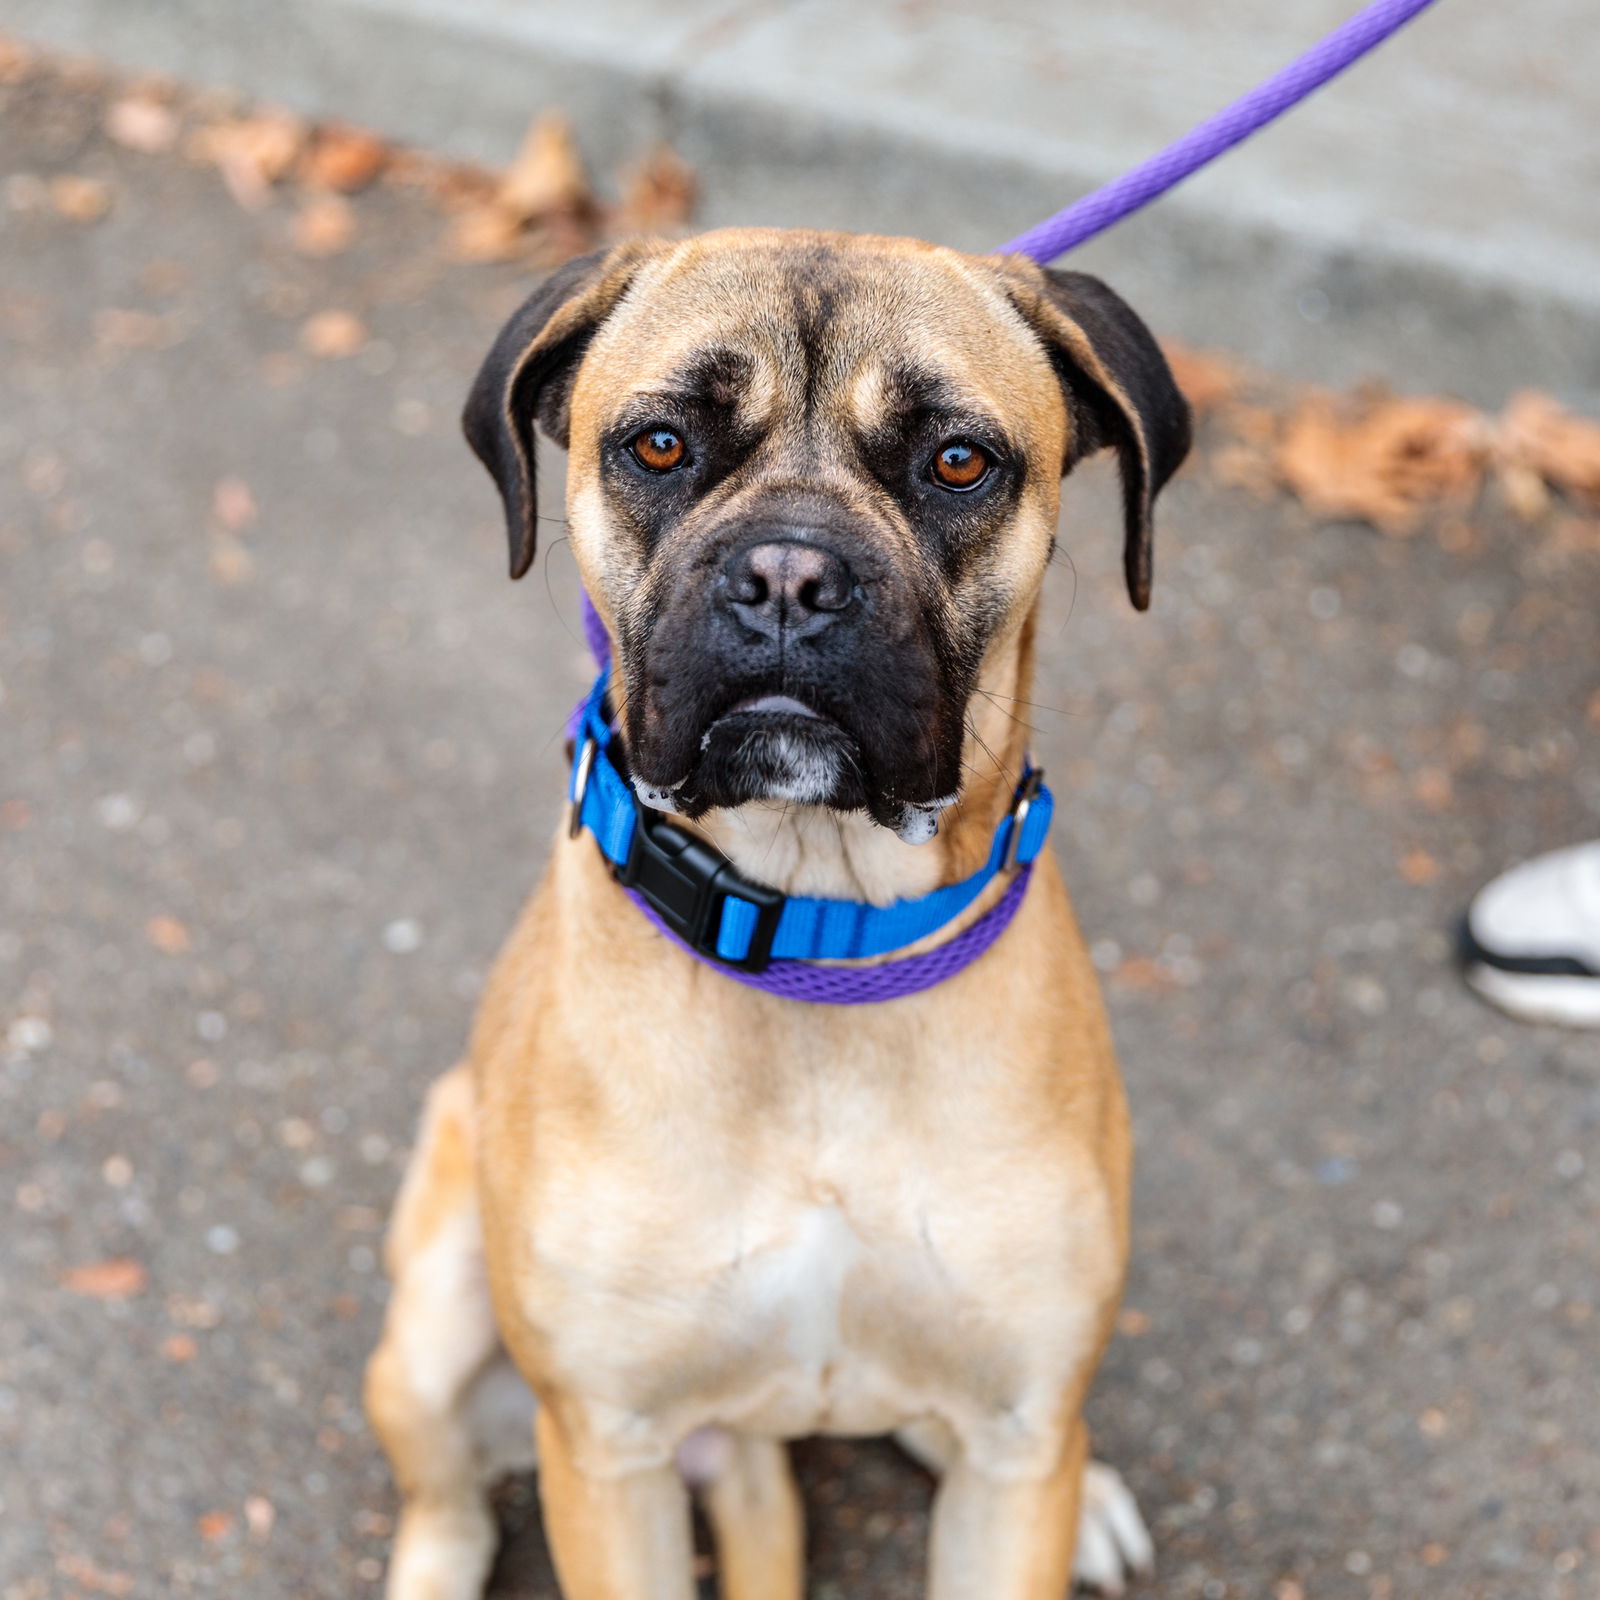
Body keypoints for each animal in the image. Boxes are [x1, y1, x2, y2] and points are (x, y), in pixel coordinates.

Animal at [363, 228, 1190, 1600]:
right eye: (659, 445)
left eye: (956, 460)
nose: (790, 576)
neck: (815, 934)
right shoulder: (610, 1456)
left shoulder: (1017, 1445)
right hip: (431, 1331)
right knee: (450, 1502)